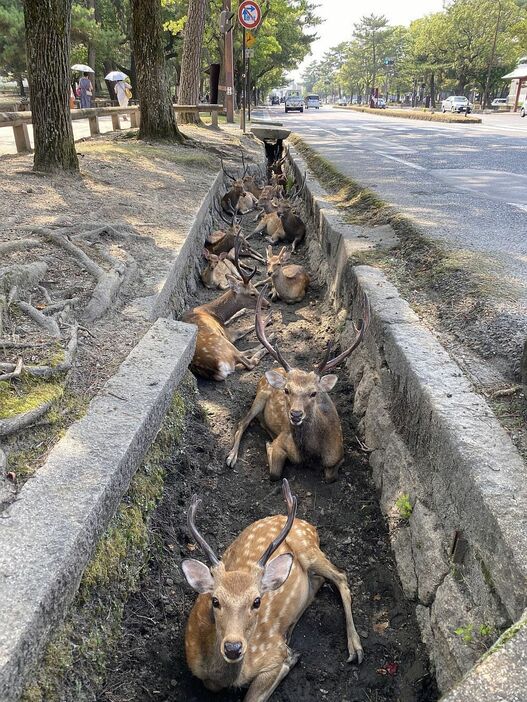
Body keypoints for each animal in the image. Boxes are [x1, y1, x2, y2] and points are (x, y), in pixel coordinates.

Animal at [182, 478, 364, 702]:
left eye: (257, 601)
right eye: (215, 600)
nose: (233, 648)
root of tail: (308, 524)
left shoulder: (271, 654)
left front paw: (290, 658)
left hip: (308, 548)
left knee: (340, 576)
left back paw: (355, 648)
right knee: (320, 580)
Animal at [183, 243, 272, 384]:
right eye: (252, 293)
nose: (268, 304)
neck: (211, 312)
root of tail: (217, 367)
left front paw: (243, 310)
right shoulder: (228, 333)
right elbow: (244, 329)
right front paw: (269, 320)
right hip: (225, 345)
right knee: (248, 360)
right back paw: (270, 341)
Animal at [228, 288, 372, 484]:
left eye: (314, 393)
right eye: (286, 390)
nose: (295, 414)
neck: (310, 454)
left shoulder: (338, 455)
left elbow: (330, 477)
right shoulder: (282, 441)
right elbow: (275, 473)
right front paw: (268, 444)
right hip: (261, 394)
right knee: (243, 422)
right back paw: (231, 456)